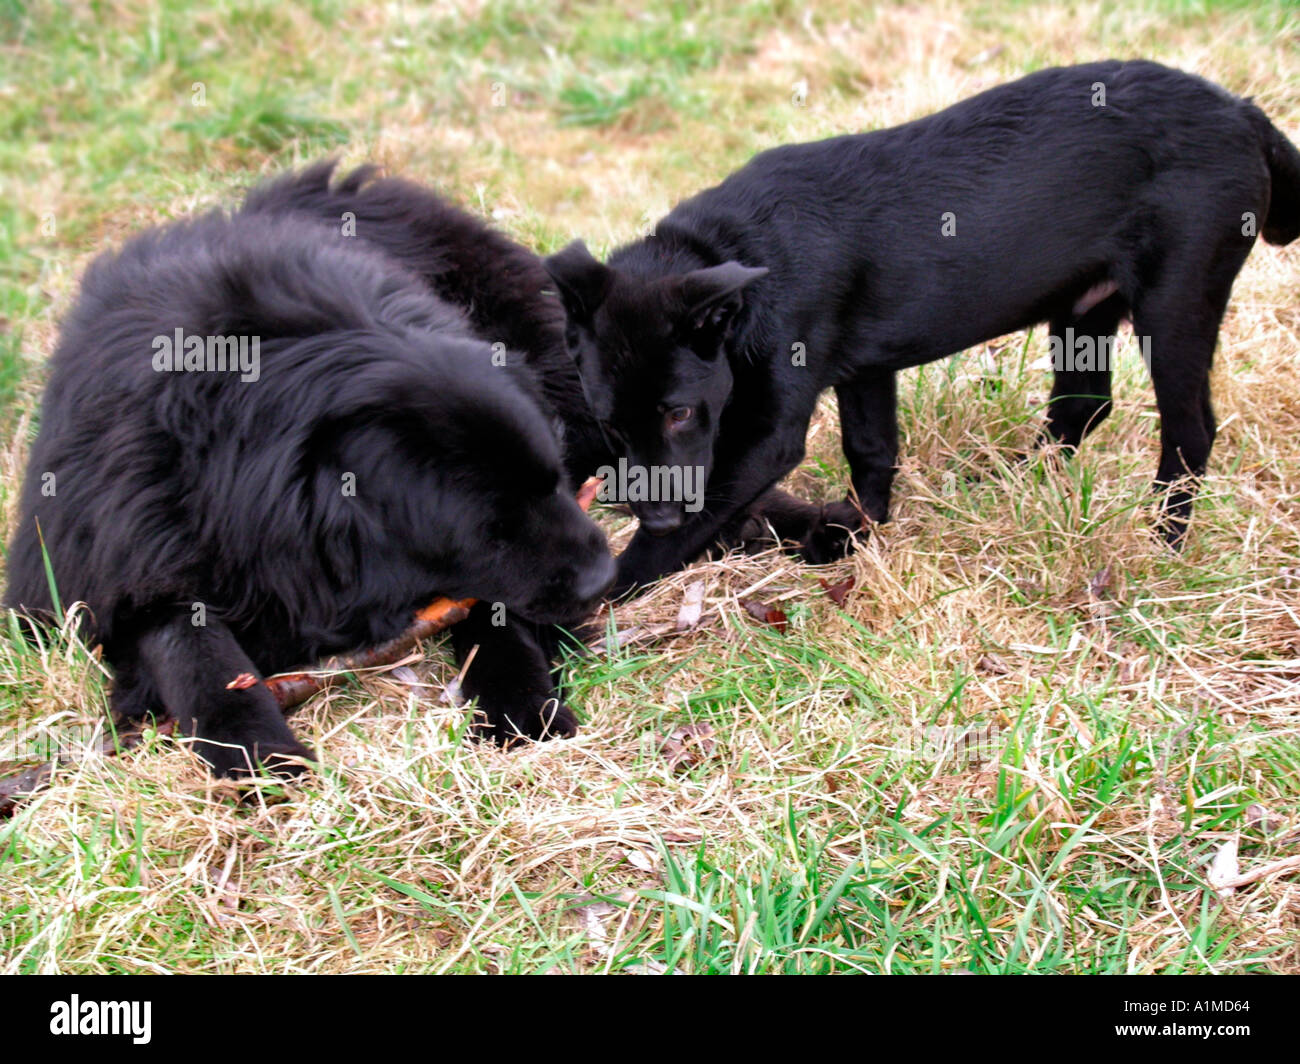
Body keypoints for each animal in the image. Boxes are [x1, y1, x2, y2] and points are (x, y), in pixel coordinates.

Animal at [6, 167, 613, 780]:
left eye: (554, 482)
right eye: (491, 529)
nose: (603, 578)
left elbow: (496, 616)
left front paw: (522, 705)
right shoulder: (120, 555)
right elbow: (187, 646)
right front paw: (258, 753)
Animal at [546, 57, 1300, 593]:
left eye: (680, 413)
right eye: (610, 423)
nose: (654, 512)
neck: (735, 252)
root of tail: (1244, 113)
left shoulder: (768, 431)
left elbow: (680, 535)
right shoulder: (864, 371)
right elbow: (872, 452)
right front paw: (858, 537)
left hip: (1176, 302)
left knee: (1189, 432)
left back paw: (1160, 543)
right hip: (1083, 309)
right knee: (1083, 405)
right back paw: (1007, 484)